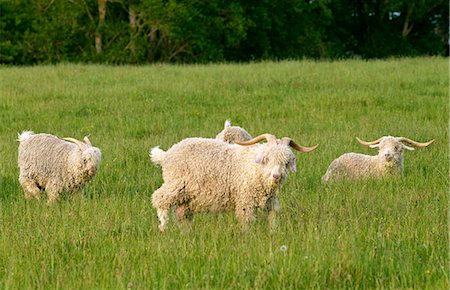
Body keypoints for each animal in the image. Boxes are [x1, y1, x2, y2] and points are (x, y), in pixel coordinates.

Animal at [150, 134, 316, 231]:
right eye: (266, 159)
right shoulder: (245, 201)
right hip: (176, 184)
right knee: (160, 199)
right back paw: (163, 227)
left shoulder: (270, 203)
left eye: (286, 162)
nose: (276, 176)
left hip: (186, 197)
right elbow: (246, 223)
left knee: (181, 214)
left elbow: (272, 220)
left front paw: (272, 234)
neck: (255, 168)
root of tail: (166, 155)